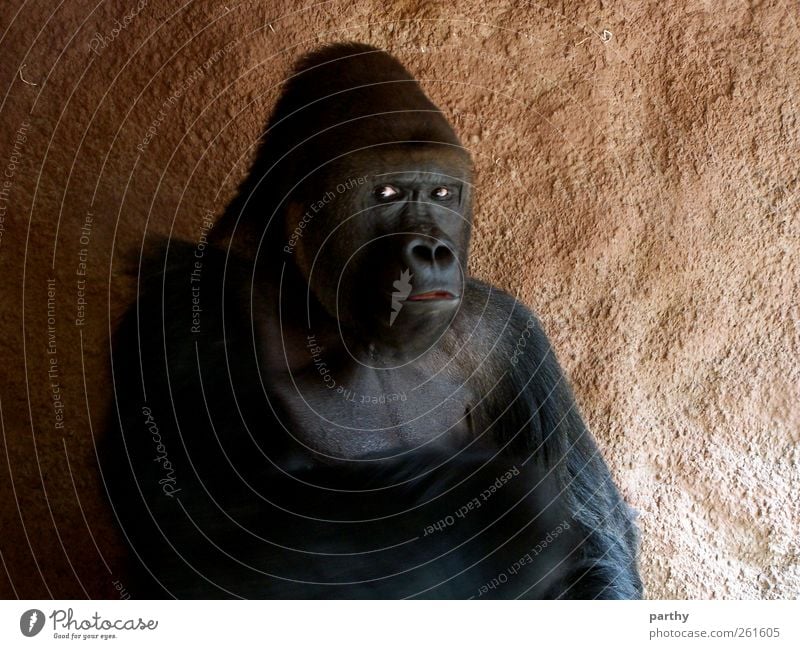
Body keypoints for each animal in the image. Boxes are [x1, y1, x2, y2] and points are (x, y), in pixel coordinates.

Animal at [104, 40, 644, 596]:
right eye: (386, 194)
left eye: (442, 195)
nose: (432, 250)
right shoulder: (186, 307)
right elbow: (206, 537)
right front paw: (509, 509)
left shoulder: (506, 332)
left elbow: (599, 532)